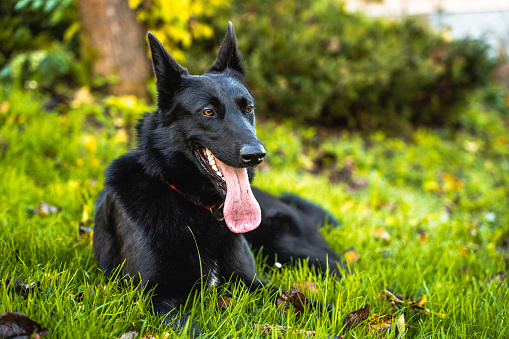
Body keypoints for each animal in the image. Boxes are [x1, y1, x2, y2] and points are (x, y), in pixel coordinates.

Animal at [94, 22, 344, 336]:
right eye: (208, 112)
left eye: (248, 108)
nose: (256, 155)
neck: (196, 207)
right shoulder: (153, 298)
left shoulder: (253, 282)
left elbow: (302, 300)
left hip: (296, 251)